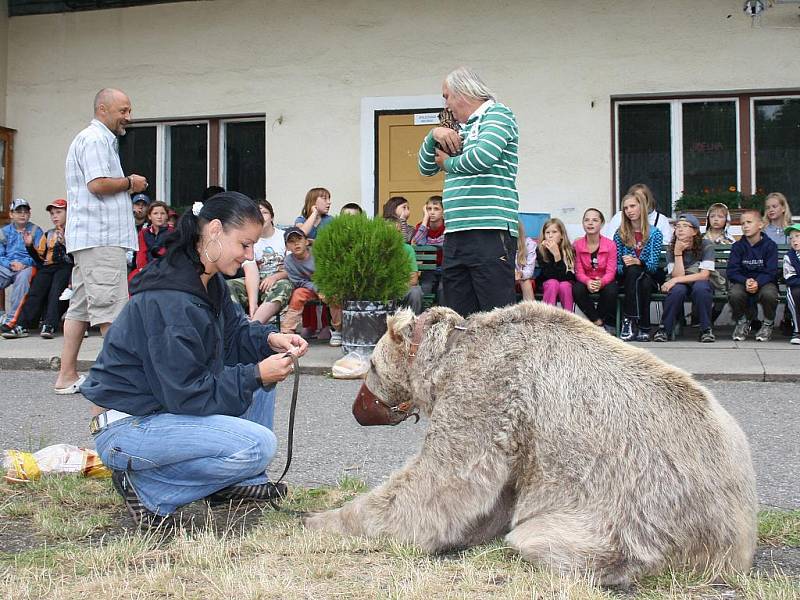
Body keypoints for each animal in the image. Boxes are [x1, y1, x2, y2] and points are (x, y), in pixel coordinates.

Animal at [304, 304, 760, 584]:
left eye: (371, 366)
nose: (357, 410)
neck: (448, 355)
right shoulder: (515, 433)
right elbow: (490, 497)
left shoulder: (489, 389)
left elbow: (443, 481)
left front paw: (323, 519)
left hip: (642, 514)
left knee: (542, 538)